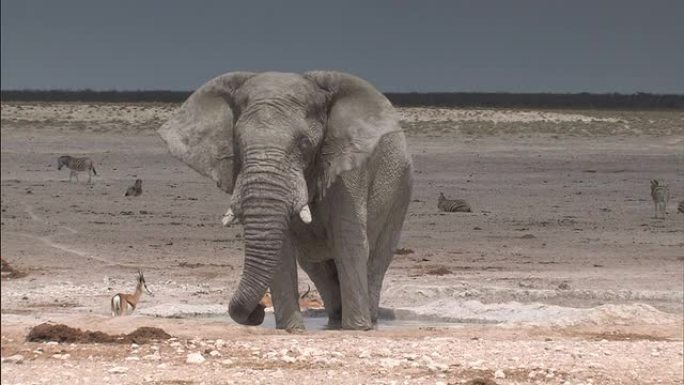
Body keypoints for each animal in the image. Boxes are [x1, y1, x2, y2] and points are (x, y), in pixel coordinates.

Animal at [159, 70, 412, 328]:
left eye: (304, 143)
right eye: (237, 142)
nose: (259, 310)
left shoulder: (348, 168)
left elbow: (349, 241)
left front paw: (357, 330)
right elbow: (282, 249)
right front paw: (292, 330)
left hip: (401, 189)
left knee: (376, 258)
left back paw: (369, 320)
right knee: (316, 266)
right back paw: (334, 320)